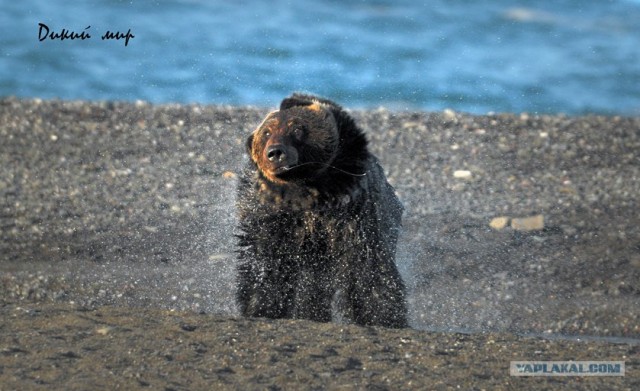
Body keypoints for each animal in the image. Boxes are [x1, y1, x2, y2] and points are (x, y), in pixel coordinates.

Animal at [235, 94, 404, 328]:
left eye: (297, 129)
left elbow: (368, 265)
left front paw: (384, 317)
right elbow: (267, 262)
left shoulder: (354, 213)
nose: (275, 153)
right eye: (266, 132)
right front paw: (262, 307)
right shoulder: (274, 217)